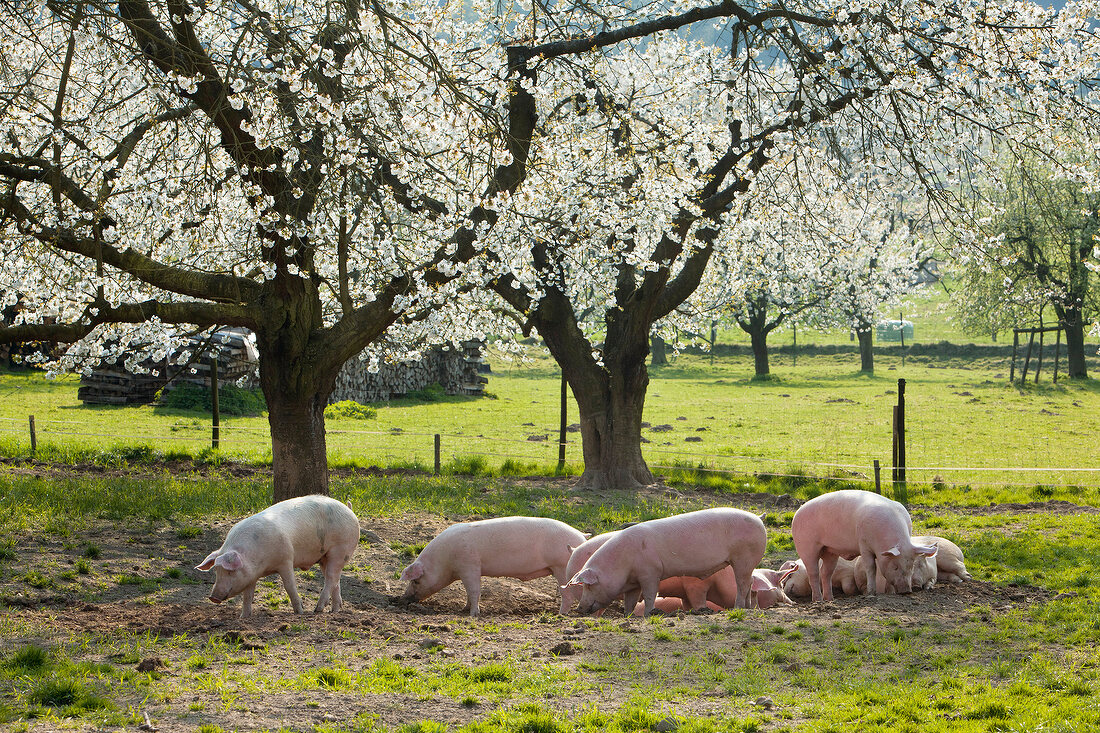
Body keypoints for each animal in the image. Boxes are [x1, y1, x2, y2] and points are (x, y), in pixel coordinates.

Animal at [193, 490, 356, 616]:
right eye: (216, 571)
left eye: (229, 571)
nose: (213, 597)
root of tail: (349, 510)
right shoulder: (251, 575)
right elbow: (248, 596)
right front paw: (244, 617)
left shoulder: (286, 559)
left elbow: (289, 586)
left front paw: (299, 612)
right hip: (324, 557)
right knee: (335, 581)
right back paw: (334, 611)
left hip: (340, 550)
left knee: (331, 578)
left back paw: (318, 610)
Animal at [396, 512, 585, 616]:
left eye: (416, 581)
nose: (403, 598)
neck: (445, 561)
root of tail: (581, 537)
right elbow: (468, 592)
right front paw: (464, 609)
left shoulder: (470, 565)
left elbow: (474, 590)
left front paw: (473, 614)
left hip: (560, 567)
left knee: (567, 594)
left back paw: (561, 614)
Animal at [567, 506, 765, 611]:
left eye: (588, 586)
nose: (579, 609)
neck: (623, 564)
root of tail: (758, 517)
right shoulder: (633, 583)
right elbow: (631, 601)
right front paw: (627, 616)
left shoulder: (650, 573)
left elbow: (649, 595)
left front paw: (649, 613)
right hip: (746, 563)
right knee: (750, 581)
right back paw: (748, 608)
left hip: (744, 558)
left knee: (742, 584)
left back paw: (738, 608)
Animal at [792, 490, 937, 598]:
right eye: (895, 566)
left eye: (911, 565)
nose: (906, 590)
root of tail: (797, 513)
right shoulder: (864, 545)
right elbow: (871, 567)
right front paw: (871, 593)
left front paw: (891, 593)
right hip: (806, 547)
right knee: (813, 572)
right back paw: (818, 600)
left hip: (830, 551)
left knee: (826, 572)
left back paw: (830, 599)